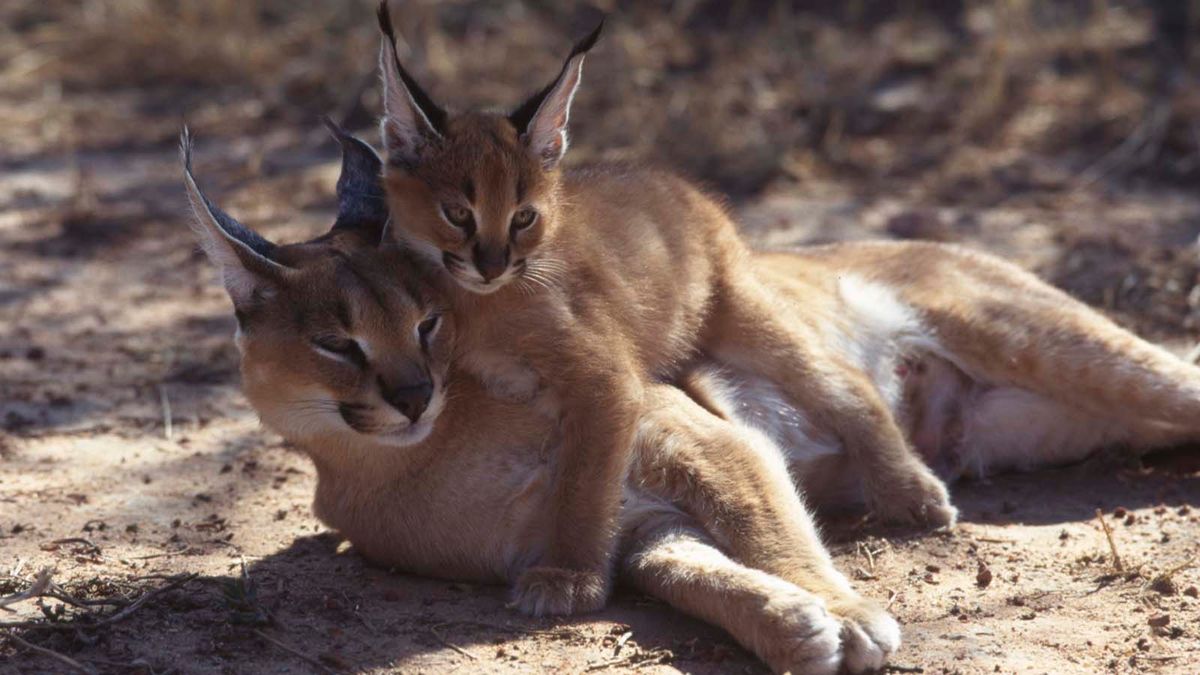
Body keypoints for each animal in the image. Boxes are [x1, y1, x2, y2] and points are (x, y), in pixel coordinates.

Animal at [180, 126, 902, 672]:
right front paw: (793, 626)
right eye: (337, 344)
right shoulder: (632, 529)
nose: (414, 395)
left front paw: (847, 613)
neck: (418, 458)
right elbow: (692, 572)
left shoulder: (690, 434)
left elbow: (764, 524)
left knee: (837, 380)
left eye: (427, 323)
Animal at [374, 6, 955, 614]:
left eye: (523, 217)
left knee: (841, 378)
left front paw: (571, 575)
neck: (477, 303)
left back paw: (909, 489)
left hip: (735, 310)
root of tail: (673, 180)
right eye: (458, 214)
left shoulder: (604, 381)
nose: (491, 265)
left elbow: (585, 482)